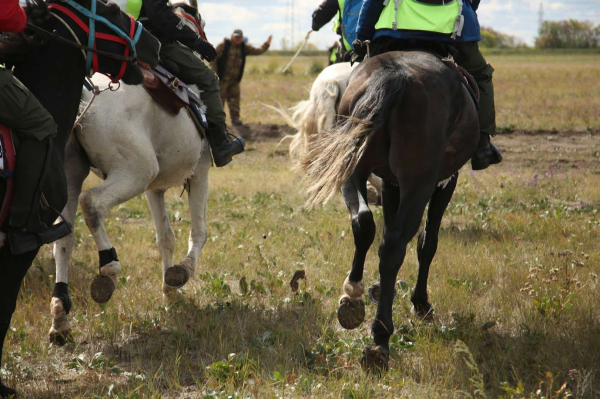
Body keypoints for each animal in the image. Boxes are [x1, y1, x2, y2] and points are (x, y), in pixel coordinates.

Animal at [48, 75, 211, 344]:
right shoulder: (200, 172)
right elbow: (198, 233)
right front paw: (182, 272)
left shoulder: (154, 189)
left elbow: (165, 238)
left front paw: (169, 291)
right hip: (135, 174)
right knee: (91, 202)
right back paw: (108, 268)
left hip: (72, 174)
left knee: (64, 238)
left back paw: (60, 317)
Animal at [302, 51, 480, 374]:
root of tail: (394, 75)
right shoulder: (444, 182)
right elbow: (427, 243)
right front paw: (420, 304)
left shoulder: (389, 182)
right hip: (418, 183)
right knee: (395, 247)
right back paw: (380, 338)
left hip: (353, 167)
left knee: (364, 225)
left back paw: (353, 297)